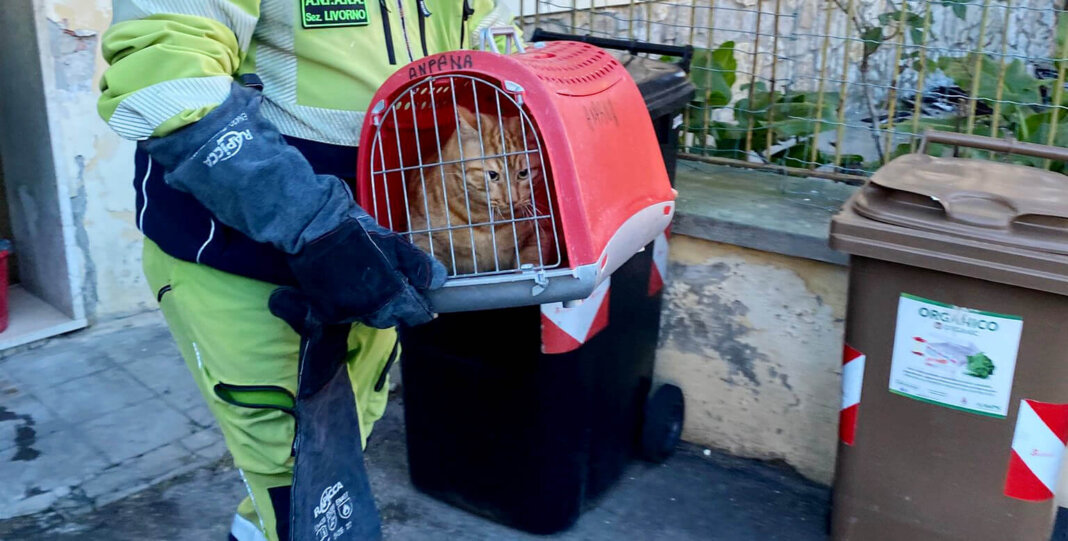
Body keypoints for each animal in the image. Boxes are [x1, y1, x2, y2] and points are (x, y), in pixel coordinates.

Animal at [403, 105, 555, 275]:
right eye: (493, 175)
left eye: (523, 173)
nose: (512, 200)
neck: (486, 220)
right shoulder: (423, 236)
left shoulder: (539, 233)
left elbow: (529, 261)